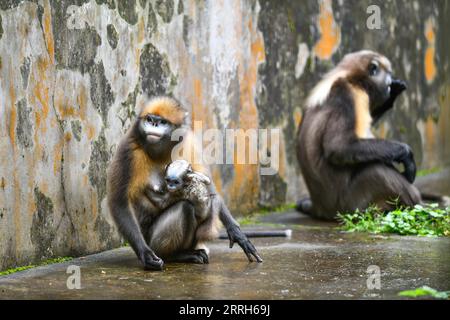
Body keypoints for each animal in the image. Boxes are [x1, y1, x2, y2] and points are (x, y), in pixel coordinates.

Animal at [107, 95, 262, 270]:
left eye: (162, 122)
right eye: (150, 119)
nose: (154, 124)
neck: (160, 151)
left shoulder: (188, 142)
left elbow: (210, 188)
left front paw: (237, 233)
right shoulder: (128, 150)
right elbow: (119, 202)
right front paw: (145, 255)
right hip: (153, 241)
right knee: (185, 207)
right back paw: (174, 255)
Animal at [298, 50, 420, 220]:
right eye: (388, 73)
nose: (390, 82)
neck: (351, 78)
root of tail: (319, 208)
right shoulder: (347, 94)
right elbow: (338, 148)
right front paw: (407, 155)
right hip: (349, 204)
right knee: (377, 170)